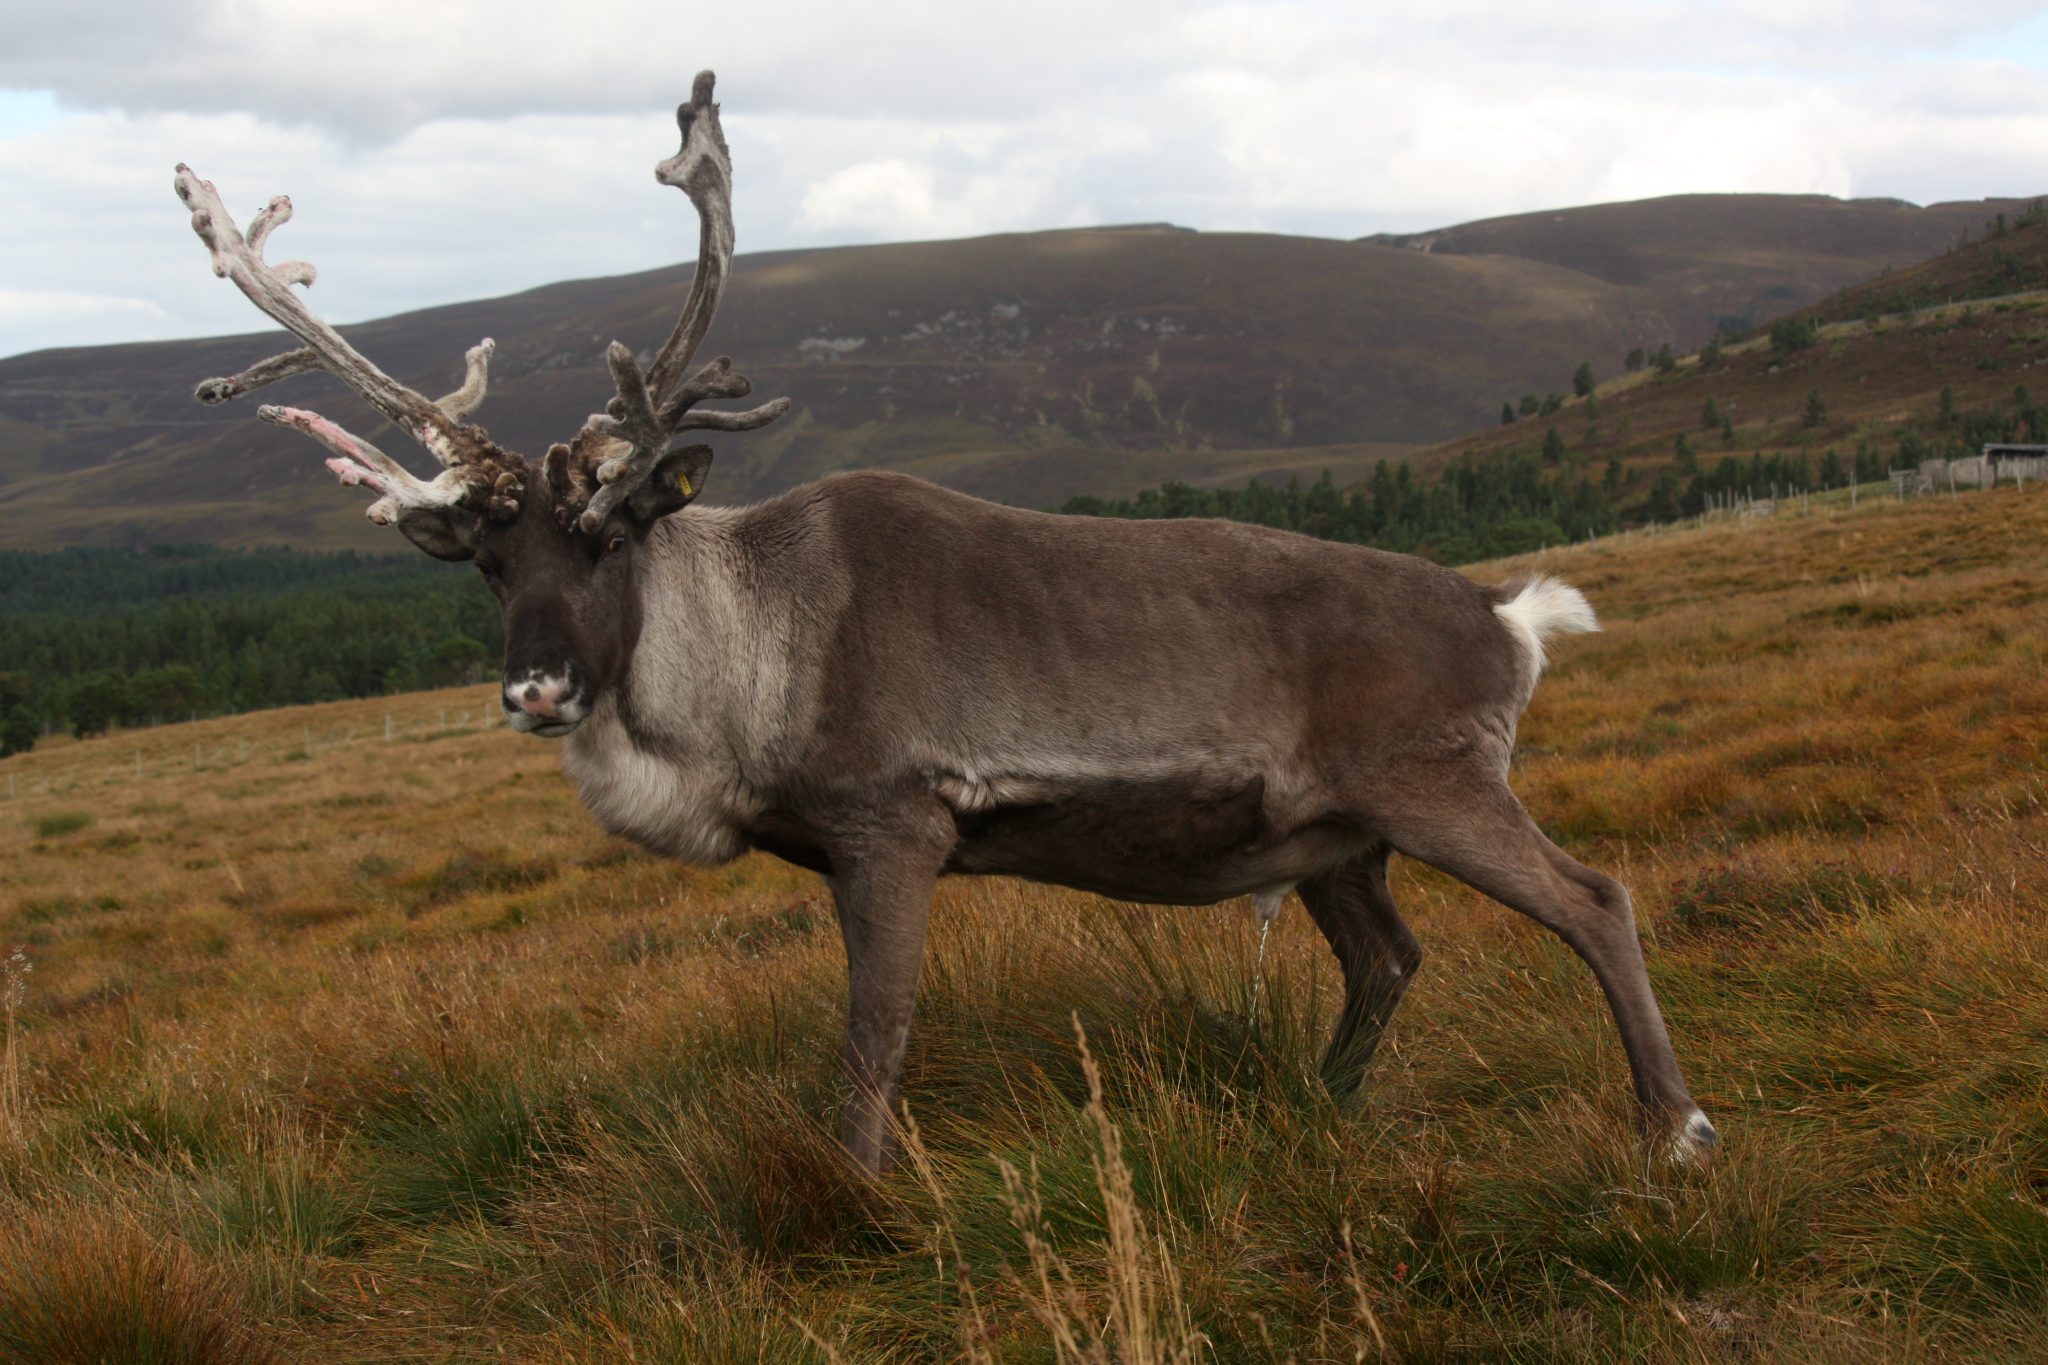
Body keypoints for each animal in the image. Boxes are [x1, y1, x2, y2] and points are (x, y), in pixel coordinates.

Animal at [172, 72, 1717, 1175]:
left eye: (612, 532)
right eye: (488, 562)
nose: (539, 689)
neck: (744, 663)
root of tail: (1510, 617)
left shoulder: (895, 820)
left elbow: (875, 1036)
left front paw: (860, 1197)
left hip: (1436, 780)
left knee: (1594, 900)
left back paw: (1673, 1129)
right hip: (1335, 835)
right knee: (1388, 955)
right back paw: (1320, 1111)